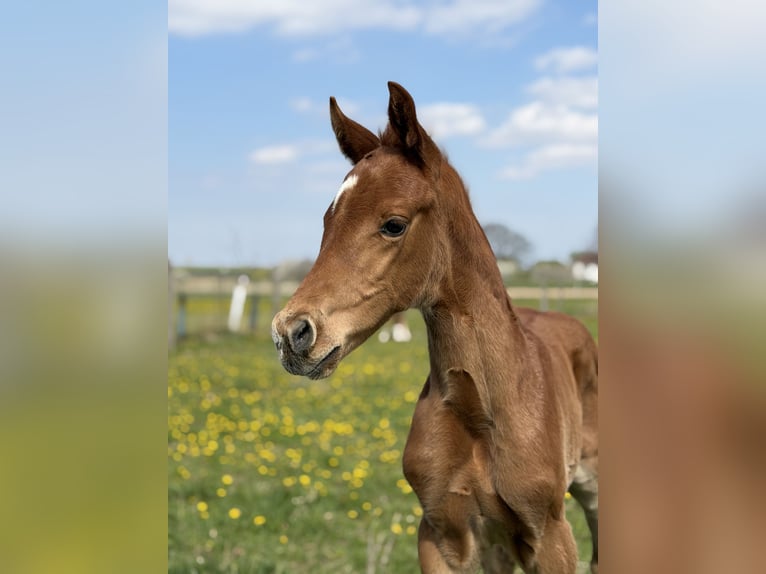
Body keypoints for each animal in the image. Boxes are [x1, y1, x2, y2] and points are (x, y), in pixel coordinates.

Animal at [271, 82, 598, 574]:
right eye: (329, 219)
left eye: (393, 224)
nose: (291, 333)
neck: (480, 412)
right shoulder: (441, 531)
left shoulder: (551, 537)